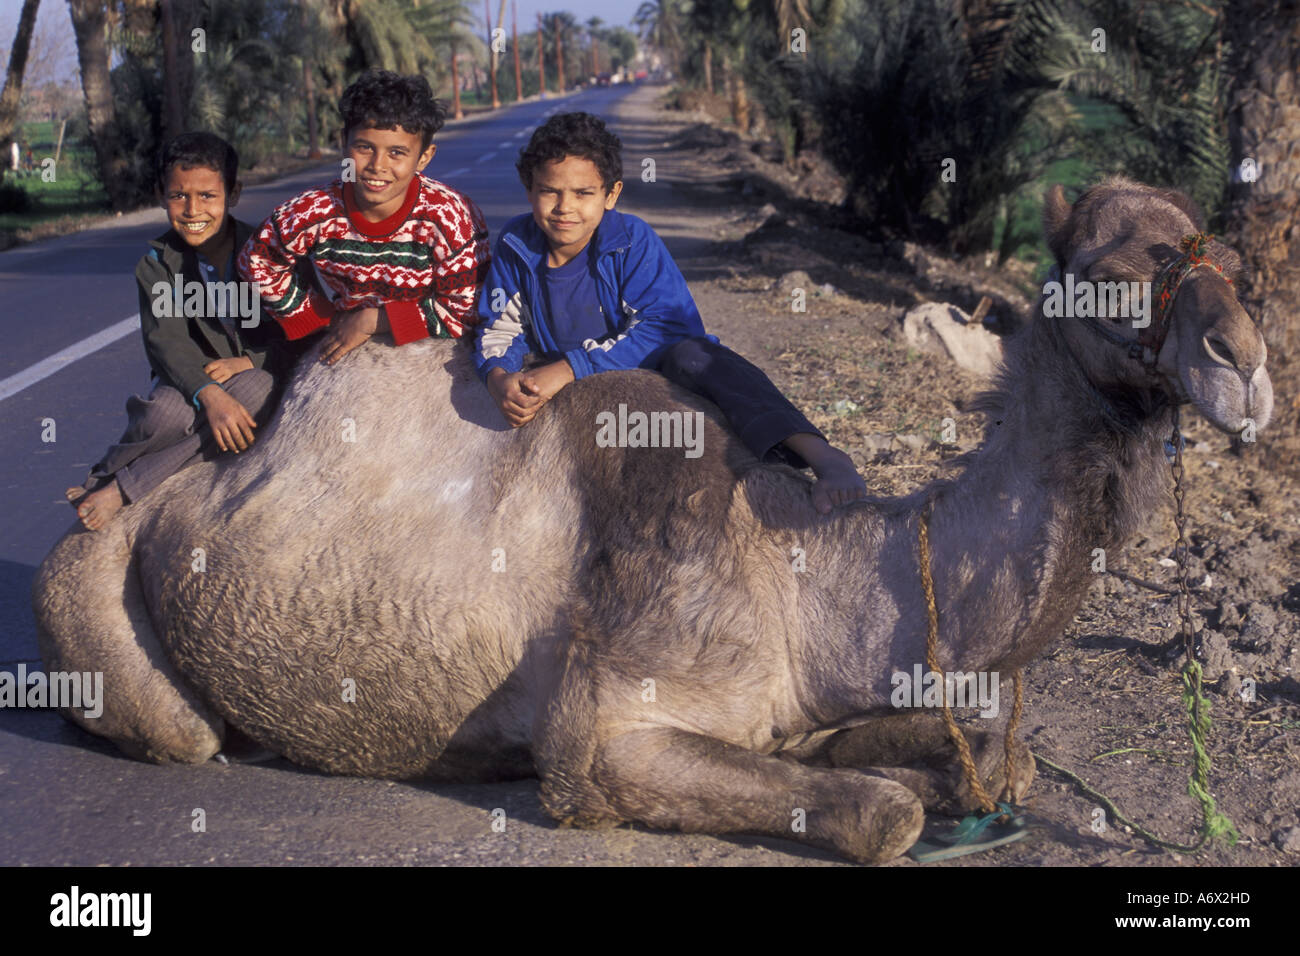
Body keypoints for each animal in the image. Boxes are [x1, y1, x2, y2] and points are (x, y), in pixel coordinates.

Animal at [30, 175, 1268, 863]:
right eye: (1108, 265)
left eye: (1214, 244)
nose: (1246, 362)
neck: (804, 564)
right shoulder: (607, 733)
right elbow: (878, 813)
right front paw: (897, 796)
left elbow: (987, 762)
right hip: (93, 595)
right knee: (182, 728)